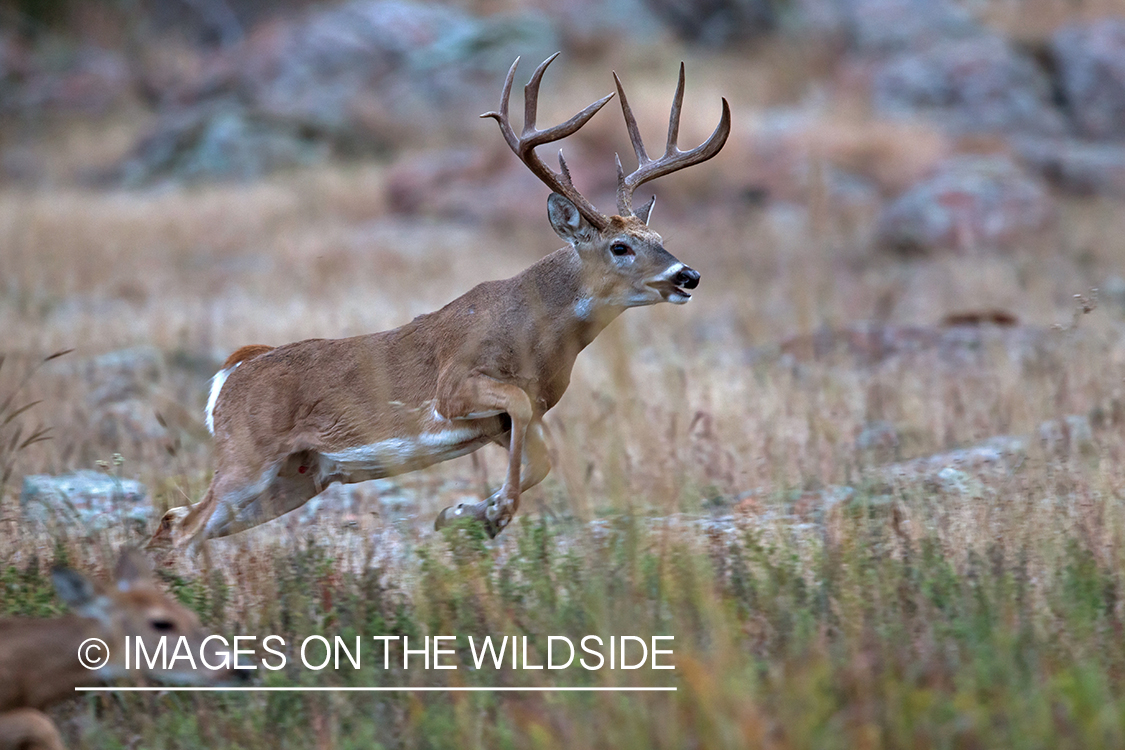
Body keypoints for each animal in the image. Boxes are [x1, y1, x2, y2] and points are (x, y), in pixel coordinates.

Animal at [147, 52, 729, 555]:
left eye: (659, 236)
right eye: (620, 246)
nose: (688, 275)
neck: (537, 334)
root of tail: (233, 372)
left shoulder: (505, 422)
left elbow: (541, 457)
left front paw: (463, 514)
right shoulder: (455, 388)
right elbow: (521, 415)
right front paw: (492, 514)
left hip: (298, 475)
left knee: (174, 521)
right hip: (247, 455)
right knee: (185, 527)